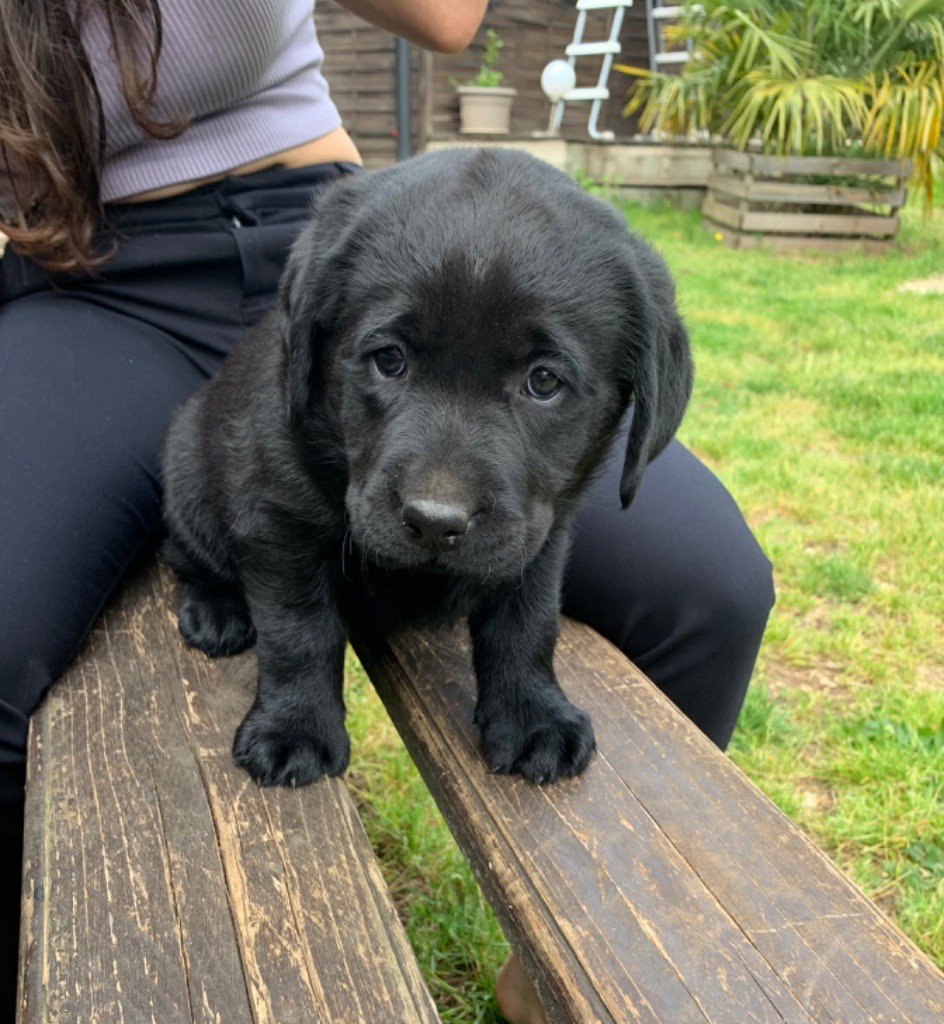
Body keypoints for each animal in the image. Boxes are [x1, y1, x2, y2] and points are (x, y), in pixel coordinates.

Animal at [161, 146, 692, 782]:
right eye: (389, 360)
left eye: (544, 382)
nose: (435, 522)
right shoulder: (277, 521)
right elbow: (298, 630)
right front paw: (295, 726)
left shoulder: (542, 532)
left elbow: (528, 622)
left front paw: (532, 714)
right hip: (186, 475)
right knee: (187, 557)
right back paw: (216, 610)